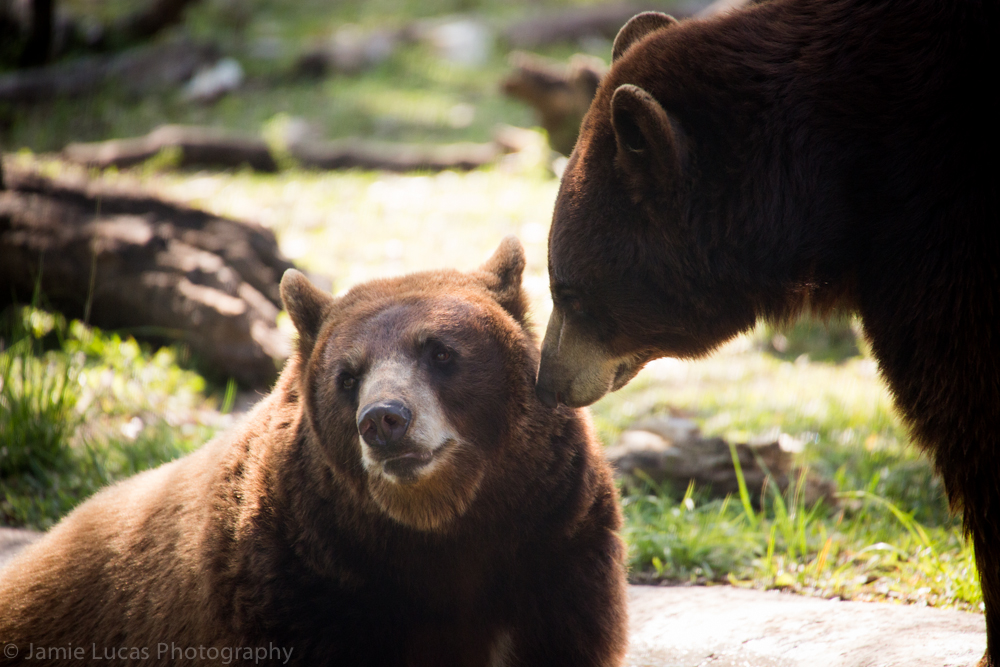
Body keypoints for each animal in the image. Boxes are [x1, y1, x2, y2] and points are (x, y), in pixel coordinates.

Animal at [0, 237, 628, 666]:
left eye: (441, 352)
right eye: (348, 376)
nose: (384, 420)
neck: (436, 532)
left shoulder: (550, 556)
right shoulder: (294, 586)